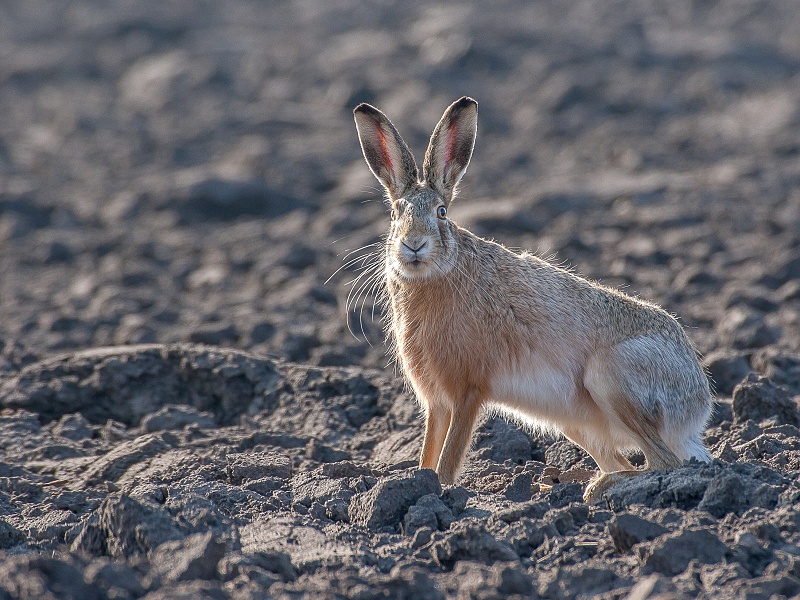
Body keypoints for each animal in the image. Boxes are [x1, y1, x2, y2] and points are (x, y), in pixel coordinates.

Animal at [352, 96, 712, 502]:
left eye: (441, 212)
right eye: (395, 213)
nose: (414, 244)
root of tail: (697, 407)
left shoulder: (467, 390)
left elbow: (448, 457)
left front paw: (439, 490)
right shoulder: (437, 402)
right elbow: (428, 452)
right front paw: (417, 480)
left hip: (610, 378)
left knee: (664, 462)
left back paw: (598, 488)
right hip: (575, 423)